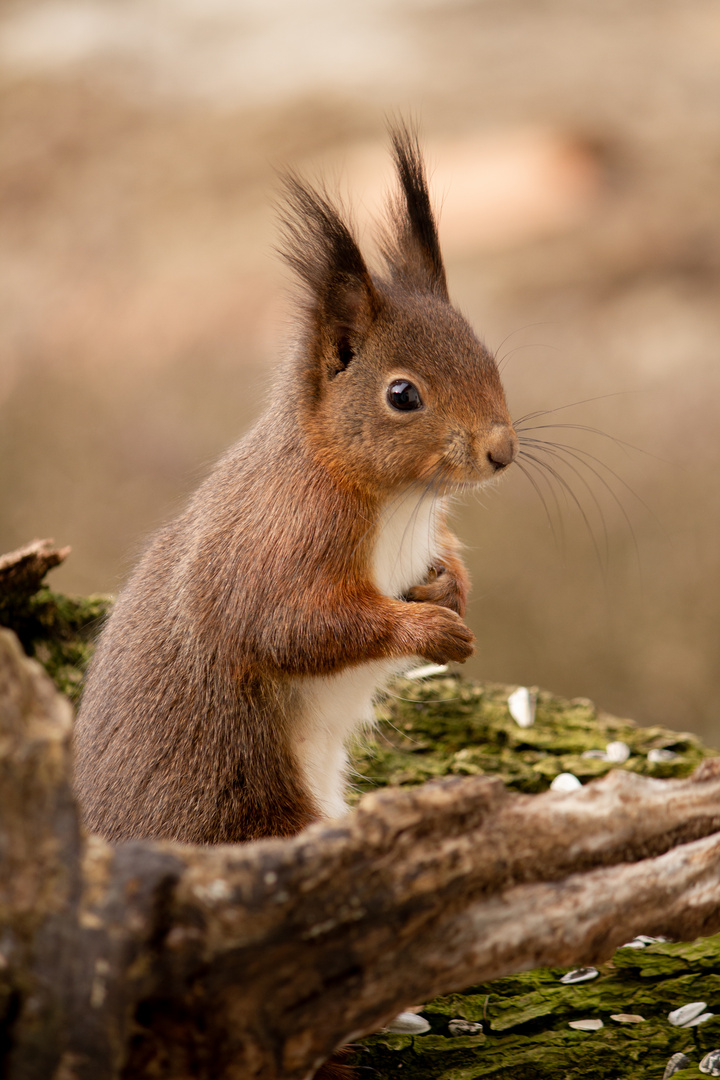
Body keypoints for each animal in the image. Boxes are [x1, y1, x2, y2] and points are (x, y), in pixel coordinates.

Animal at [73, 124, 518, 842]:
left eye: (485, 357)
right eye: (403, 395)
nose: (501, 452)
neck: (400, 500)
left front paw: (448, 586)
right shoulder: (285, 538)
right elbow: (291, 625)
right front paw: (428, 629)